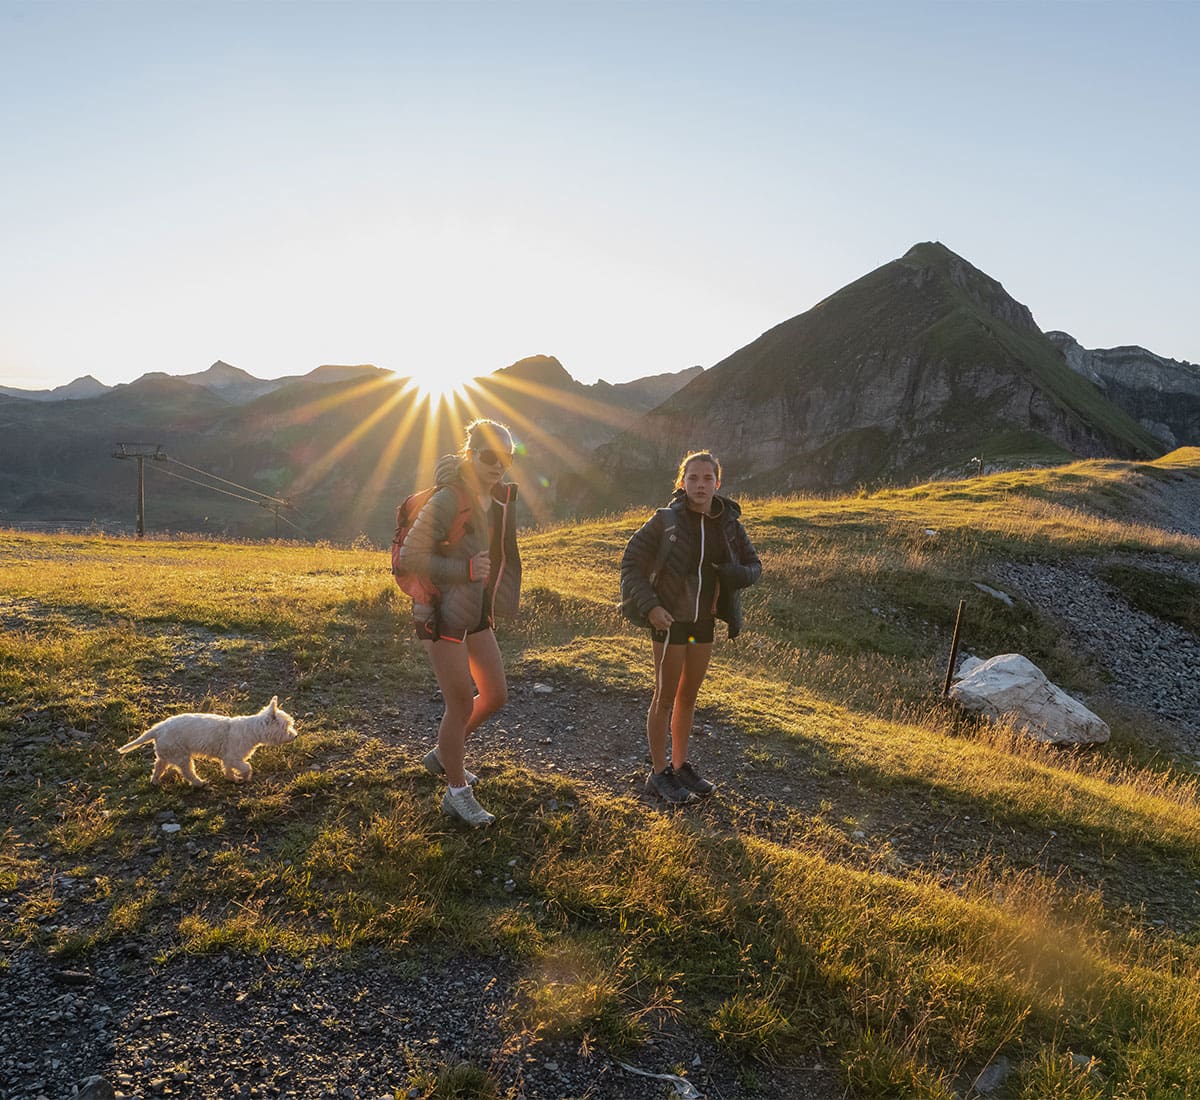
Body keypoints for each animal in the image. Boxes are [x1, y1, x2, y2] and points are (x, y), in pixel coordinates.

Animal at [115, 700, 298, 786]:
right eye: (286, 726)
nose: (295, 736)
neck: (253, 730)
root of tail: (158, 728)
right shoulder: (233, 757)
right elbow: (247, 767)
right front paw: (244, 777)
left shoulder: (228, 758)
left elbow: (228, 769)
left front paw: (232, 778)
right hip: (181, 755)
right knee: (187, 771)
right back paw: (199, 783)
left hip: (167, 752)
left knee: (158, 765)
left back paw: (155, 781)